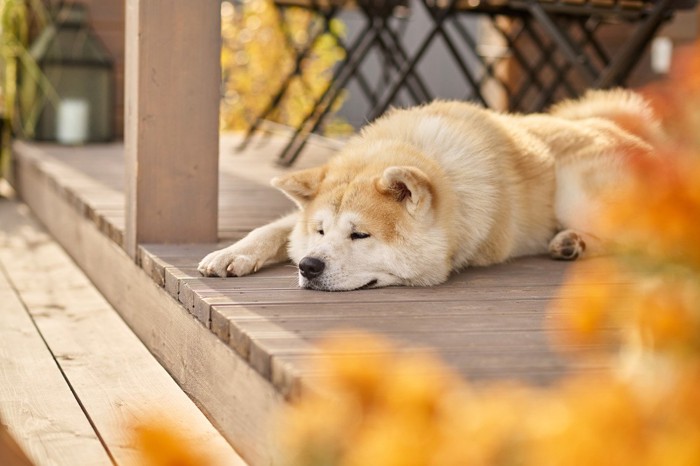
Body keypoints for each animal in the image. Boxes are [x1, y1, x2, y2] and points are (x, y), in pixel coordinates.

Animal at [198, 89, 660, 290]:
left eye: (360, 235)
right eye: (320, 231)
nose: (309, 266)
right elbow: (272, 230)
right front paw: (231, 254)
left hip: (575, 192)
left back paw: (576, 241)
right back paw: (570, 243)